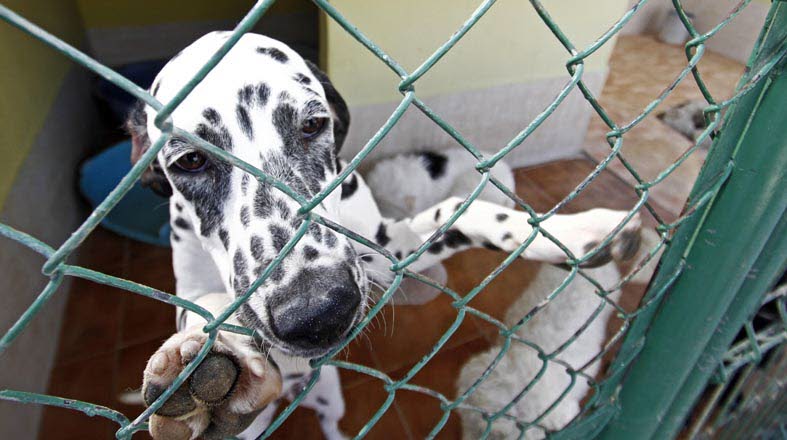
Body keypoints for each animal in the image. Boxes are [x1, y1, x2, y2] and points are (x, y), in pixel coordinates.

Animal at [129, 31, 644, 440]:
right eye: (190, 160)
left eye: (313, 124)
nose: (318, 313)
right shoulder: (192, 283)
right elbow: (203, 305)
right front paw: (212, 358)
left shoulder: (389, 251)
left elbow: (459, 209)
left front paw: (568, 229)